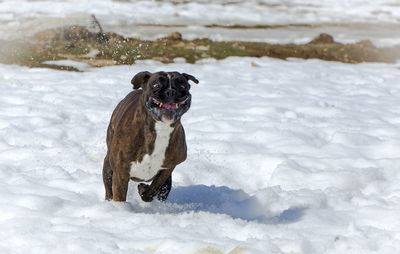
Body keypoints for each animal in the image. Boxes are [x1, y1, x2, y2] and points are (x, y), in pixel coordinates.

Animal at [101, 70, 198, 201]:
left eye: (182, 86)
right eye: (156, 85)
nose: (170, 91)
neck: (160, 128)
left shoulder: (168, 168)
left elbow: (153, 189)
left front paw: (144, 190)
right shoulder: (121, 172)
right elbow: (119, 195)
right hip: (108, 163)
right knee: (108, 186)